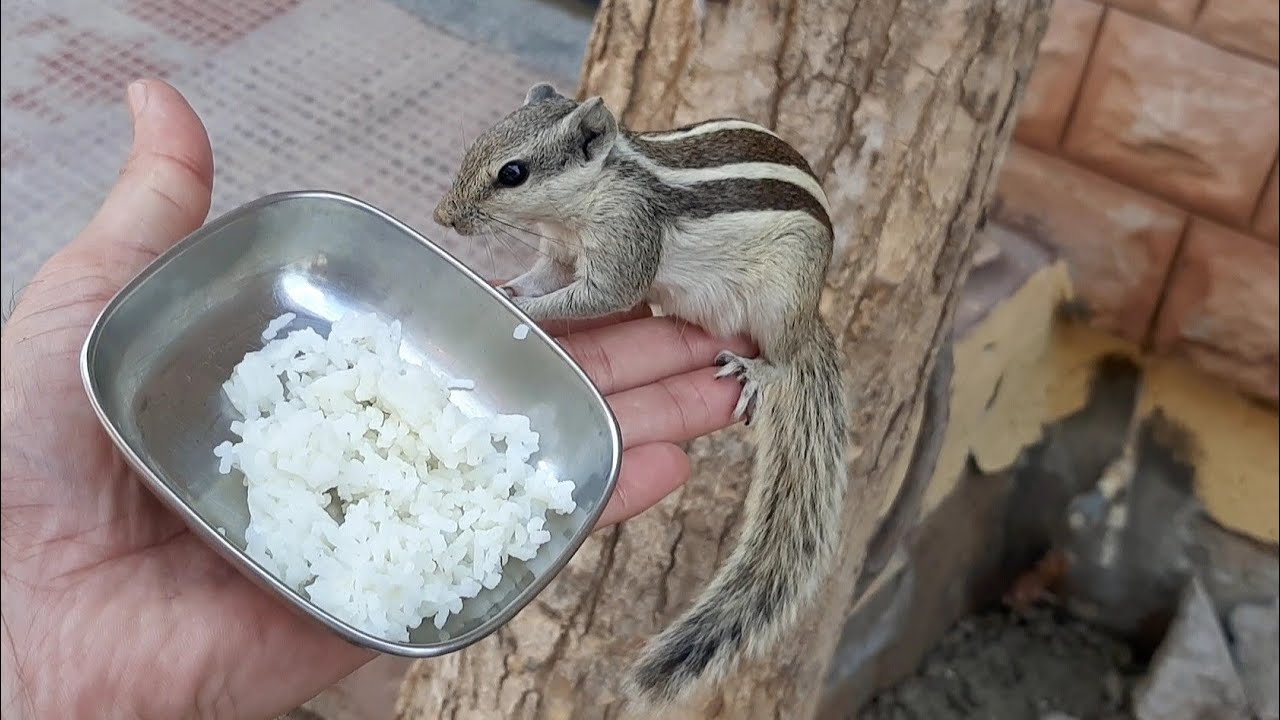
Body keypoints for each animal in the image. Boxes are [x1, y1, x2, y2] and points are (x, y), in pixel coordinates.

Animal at [432, 82, 849, 708]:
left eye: (513, 173)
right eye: (481, 141)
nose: (444, 216)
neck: (597, 189)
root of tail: (812, 313)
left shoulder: (626, 242)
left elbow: (599, 296)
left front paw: (525, 312)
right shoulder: (559, 250)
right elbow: (543, 277)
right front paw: (507, 288)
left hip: (781, 300)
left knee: (786, 357)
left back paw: (757, 369)